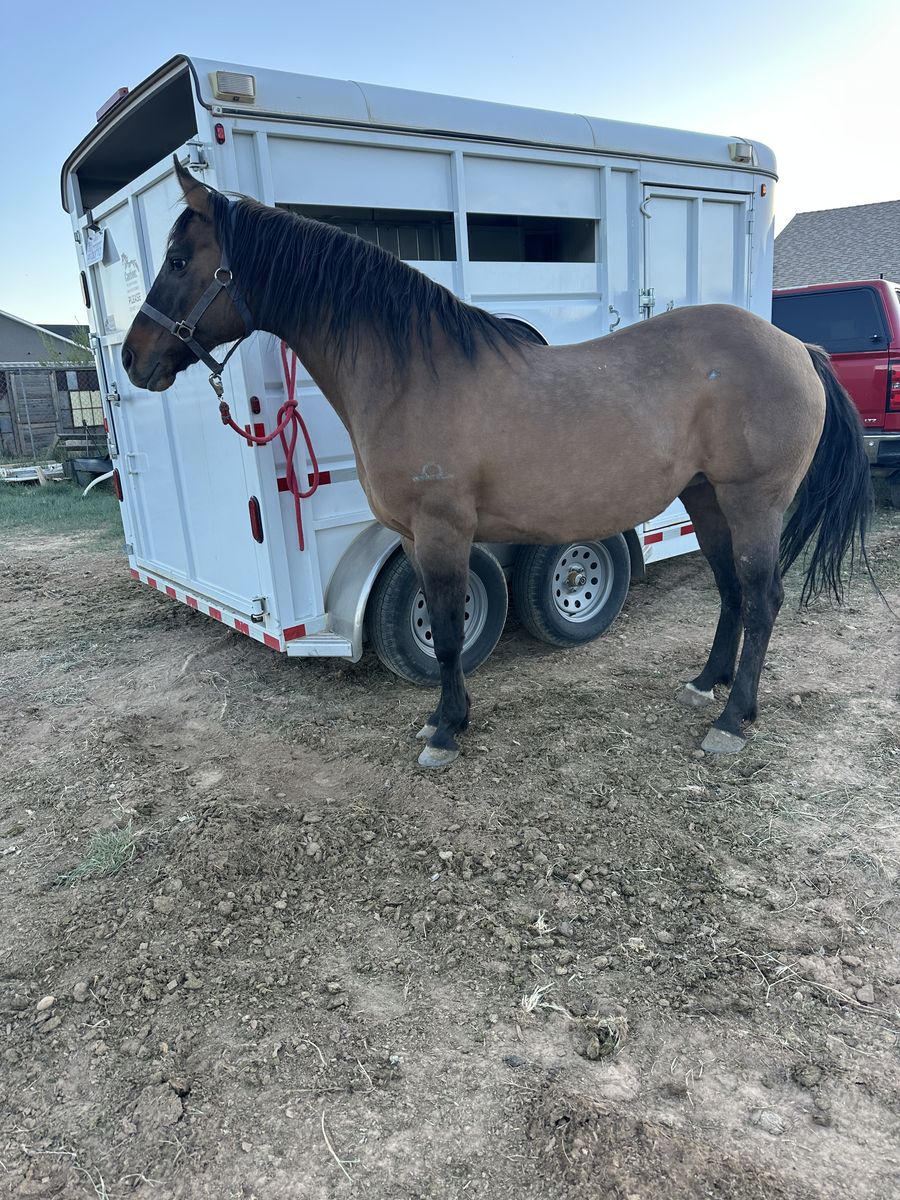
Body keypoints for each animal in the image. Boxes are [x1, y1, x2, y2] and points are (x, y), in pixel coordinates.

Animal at [122, 156, 872, 769]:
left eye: (181, 260)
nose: (133, 360)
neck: (410, 373)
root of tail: (794, 347)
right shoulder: (411, 534)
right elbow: (444, 631)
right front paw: (442, 720)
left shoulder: (443, 529)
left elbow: (450, 634)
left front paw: (446, 731)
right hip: (705, 495)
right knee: (731, 591)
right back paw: (704, 684)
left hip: (753, 500)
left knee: (763, 597)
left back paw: (732, 720)